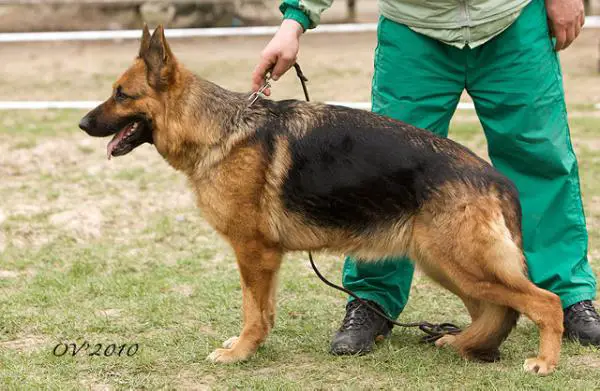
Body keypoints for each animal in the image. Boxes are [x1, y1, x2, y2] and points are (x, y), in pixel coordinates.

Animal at [78, 25, 564, 376]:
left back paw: (544, 362)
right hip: (445, 265)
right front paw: (250, 348)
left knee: (544, 302)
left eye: (121, 94)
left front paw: (240, 353)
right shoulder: (263, 258)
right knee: (497, 311)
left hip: (462, 263)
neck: (219, 129)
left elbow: (252, 310)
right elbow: (263, 310)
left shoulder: (253, 252)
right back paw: (464, 344)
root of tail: (494, 177)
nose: (82, 123)